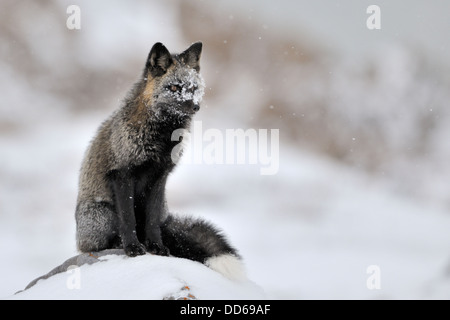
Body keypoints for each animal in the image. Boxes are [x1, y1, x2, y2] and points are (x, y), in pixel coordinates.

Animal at [76, 42, 248, 280]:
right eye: (174, 88)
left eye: (193, 88)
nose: (195, 107)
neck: (160, 139)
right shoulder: (122, 174)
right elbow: (127, 219)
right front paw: (132, 248)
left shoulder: (160, 176)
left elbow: (152, 222)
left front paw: (156, 247)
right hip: (102, 213)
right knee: (98, 244)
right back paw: (117, 243)